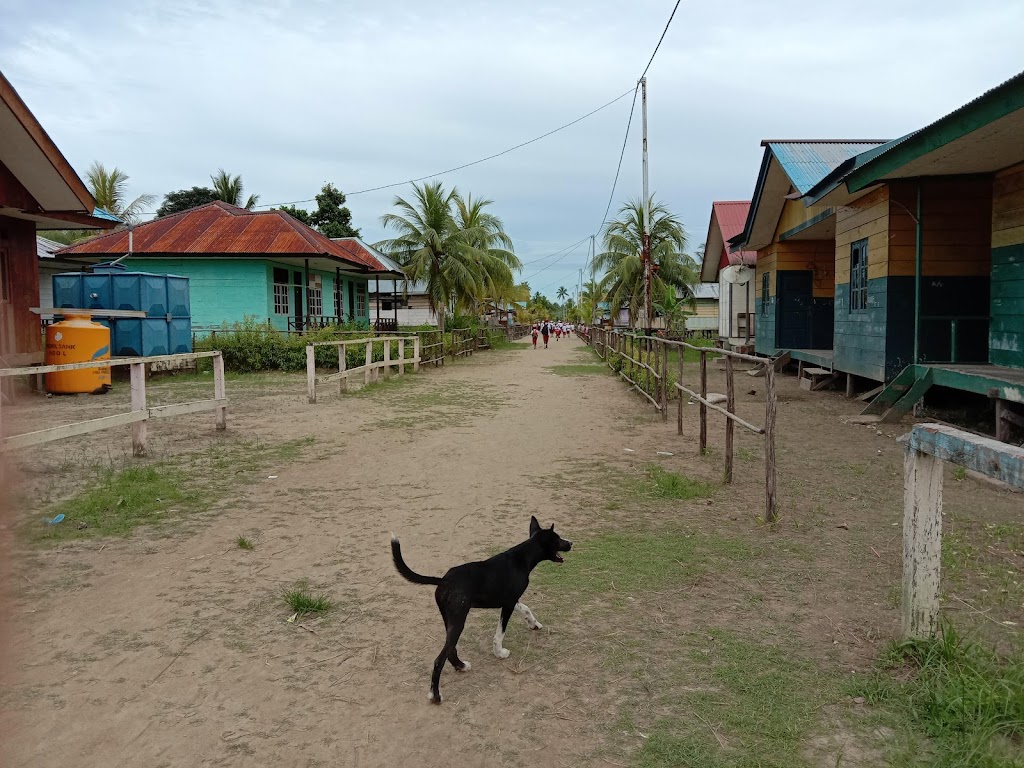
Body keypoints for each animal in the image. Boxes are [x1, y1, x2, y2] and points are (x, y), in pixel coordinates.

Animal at [390, 515, 572, 703]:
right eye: (558, 539)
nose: (571, 543)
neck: (523, 557)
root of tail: (444, 581)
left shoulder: (511, 600)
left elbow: (526, 609)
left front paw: (534, 624)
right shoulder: (508, 604)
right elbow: (500, 634)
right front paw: (499, 653)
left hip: (449, 620)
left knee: (451, 650)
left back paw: (461, 666)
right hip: (458, 621)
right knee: (439, 660)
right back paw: (436, 694)